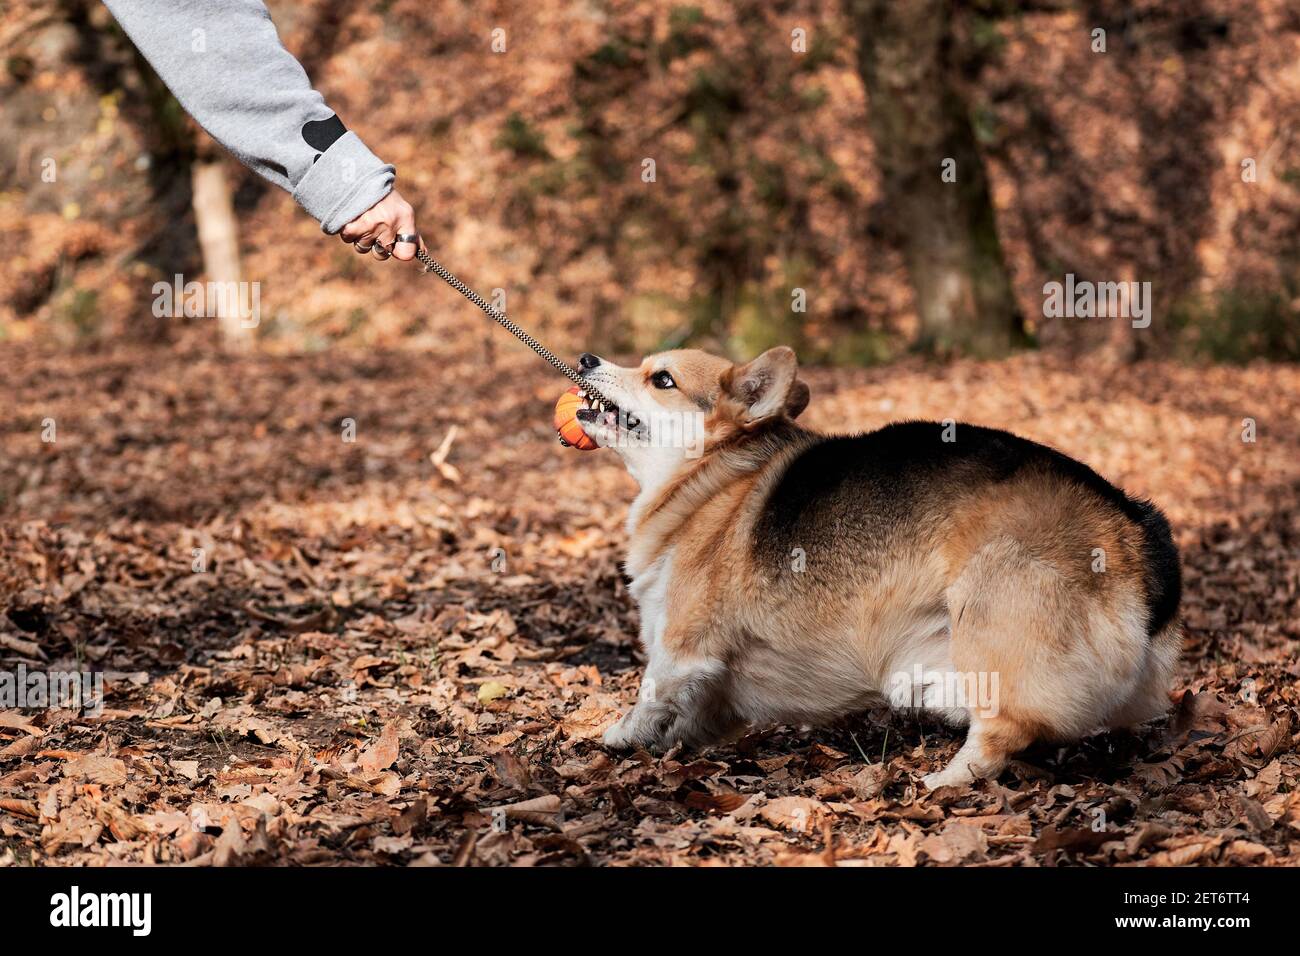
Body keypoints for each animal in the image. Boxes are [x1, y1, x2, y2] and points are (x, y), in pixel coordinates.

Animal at [574, 348, 1185, 790]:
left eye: (662, 379)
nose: (584, 358)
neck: (711, 476)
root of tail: (1131, 525)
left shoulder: (680, 649)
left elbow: (649, 693)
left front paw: (616, 737)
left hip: (986, 616)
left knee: (1000, 732)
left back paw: (943, 781)